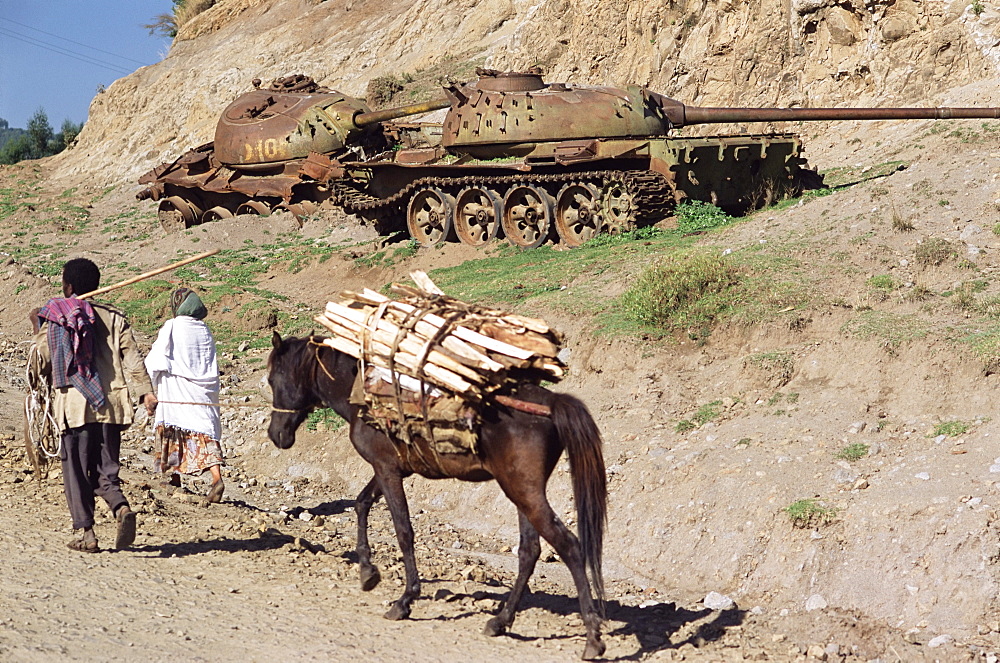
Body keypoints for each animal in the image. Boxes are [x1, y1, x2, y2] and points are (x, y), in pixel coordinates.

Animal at [268, 334, 608, 660]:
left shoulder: (387, 470)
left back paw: (592, 637)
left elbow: (403, 531)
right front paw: (367, 572)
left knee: (569, 546)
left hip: (524, 492)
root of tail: (551, 401)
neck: (361, 393)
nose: (276, 435)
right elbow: (361, 503)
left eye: (272, 378)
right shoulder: (391, 469)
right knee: (530, 551)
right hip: (522, 491)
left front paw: (405, 600)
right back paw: (500, 621)